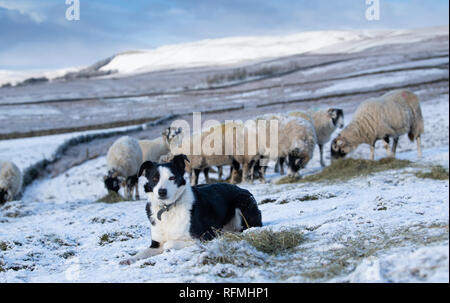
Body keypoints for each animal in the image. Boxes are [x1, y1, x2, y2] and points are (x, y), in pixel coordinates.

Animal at [120, 156, 264, 264]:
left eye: (172, 178)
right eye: (154, 178)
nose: (162, 192)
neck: (168, 208)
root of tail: (243, 188)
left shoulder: (201, 237)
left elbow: (169, 244)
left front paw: (168, 248)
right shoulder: (156, 243)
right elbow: (143, 252)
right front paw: (129, 259)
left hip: (241, 205)